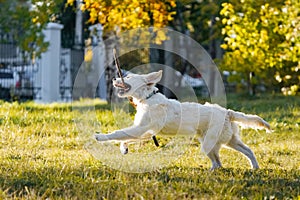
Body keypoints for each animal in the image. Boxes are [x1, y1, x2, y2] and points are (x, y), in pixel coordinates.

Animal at [95, 70, 270, 169]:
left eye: (129, 77)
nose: (113, 79)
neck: (147, 98)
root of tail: (227, 112)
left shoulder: (140, 128)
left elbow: (118, 133)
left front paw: (100, 137)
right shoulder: (145, 131)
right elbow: (126, 138)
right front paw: (123, 148)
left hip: (210, 143)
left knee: (218, 162)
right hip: (228, 140)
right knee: (244, 152)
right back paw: (254, 167)